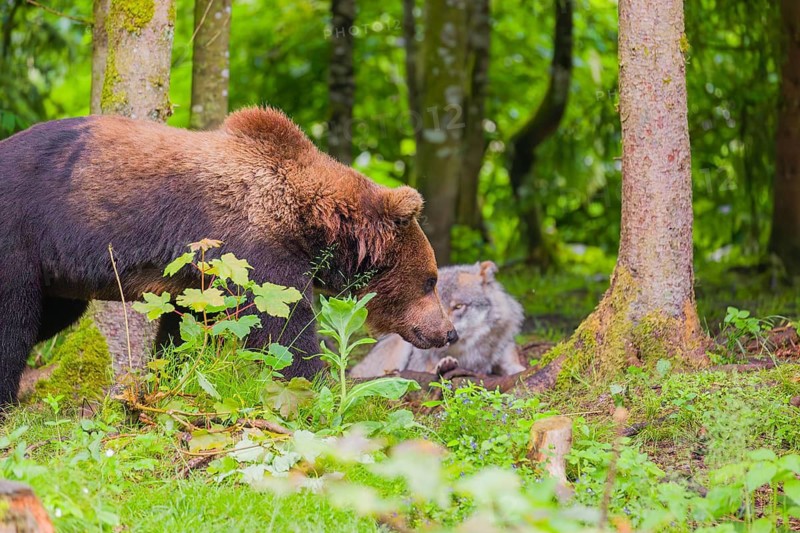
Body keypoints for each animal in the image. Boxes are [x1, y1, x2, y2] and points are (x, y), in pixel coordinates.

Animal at [0, 107, 457, 404]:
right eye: (431, 280)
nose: (449, 331)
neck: (305, 222)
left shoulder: (200, 272)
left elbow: (185, 329)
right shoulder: (255, 251)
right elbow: (284, 332)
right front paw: (323, 389)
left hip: (54, 275)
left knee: (51, 315)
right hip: (21, 238)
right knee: (14, 322)